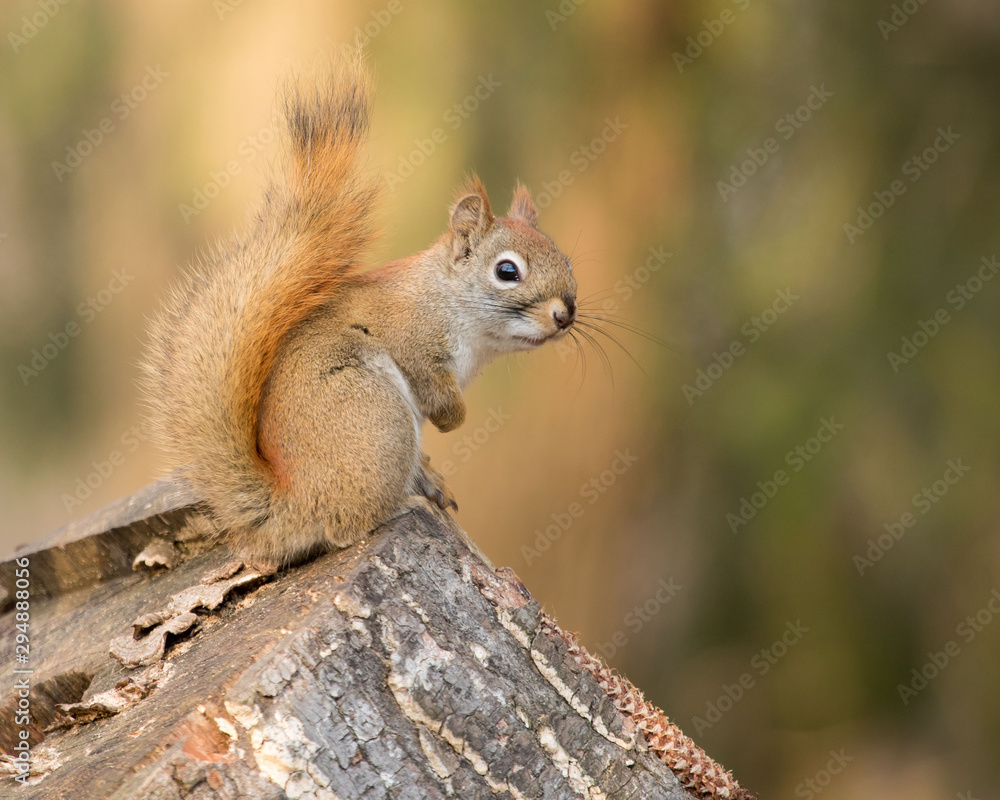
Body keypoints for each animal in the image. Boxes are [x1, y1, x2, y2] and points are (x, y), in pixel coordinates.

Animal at [142, 59, 580, 564]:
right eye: (507, 271)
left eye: (566, 261)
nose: (565, 314)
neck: (448, 300)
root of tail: (292, 502)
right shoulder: (413, 339)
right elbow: (434, 388)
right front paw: (454, 419)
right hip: (376, 416)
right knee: (343, 528)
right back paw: (404, 505)